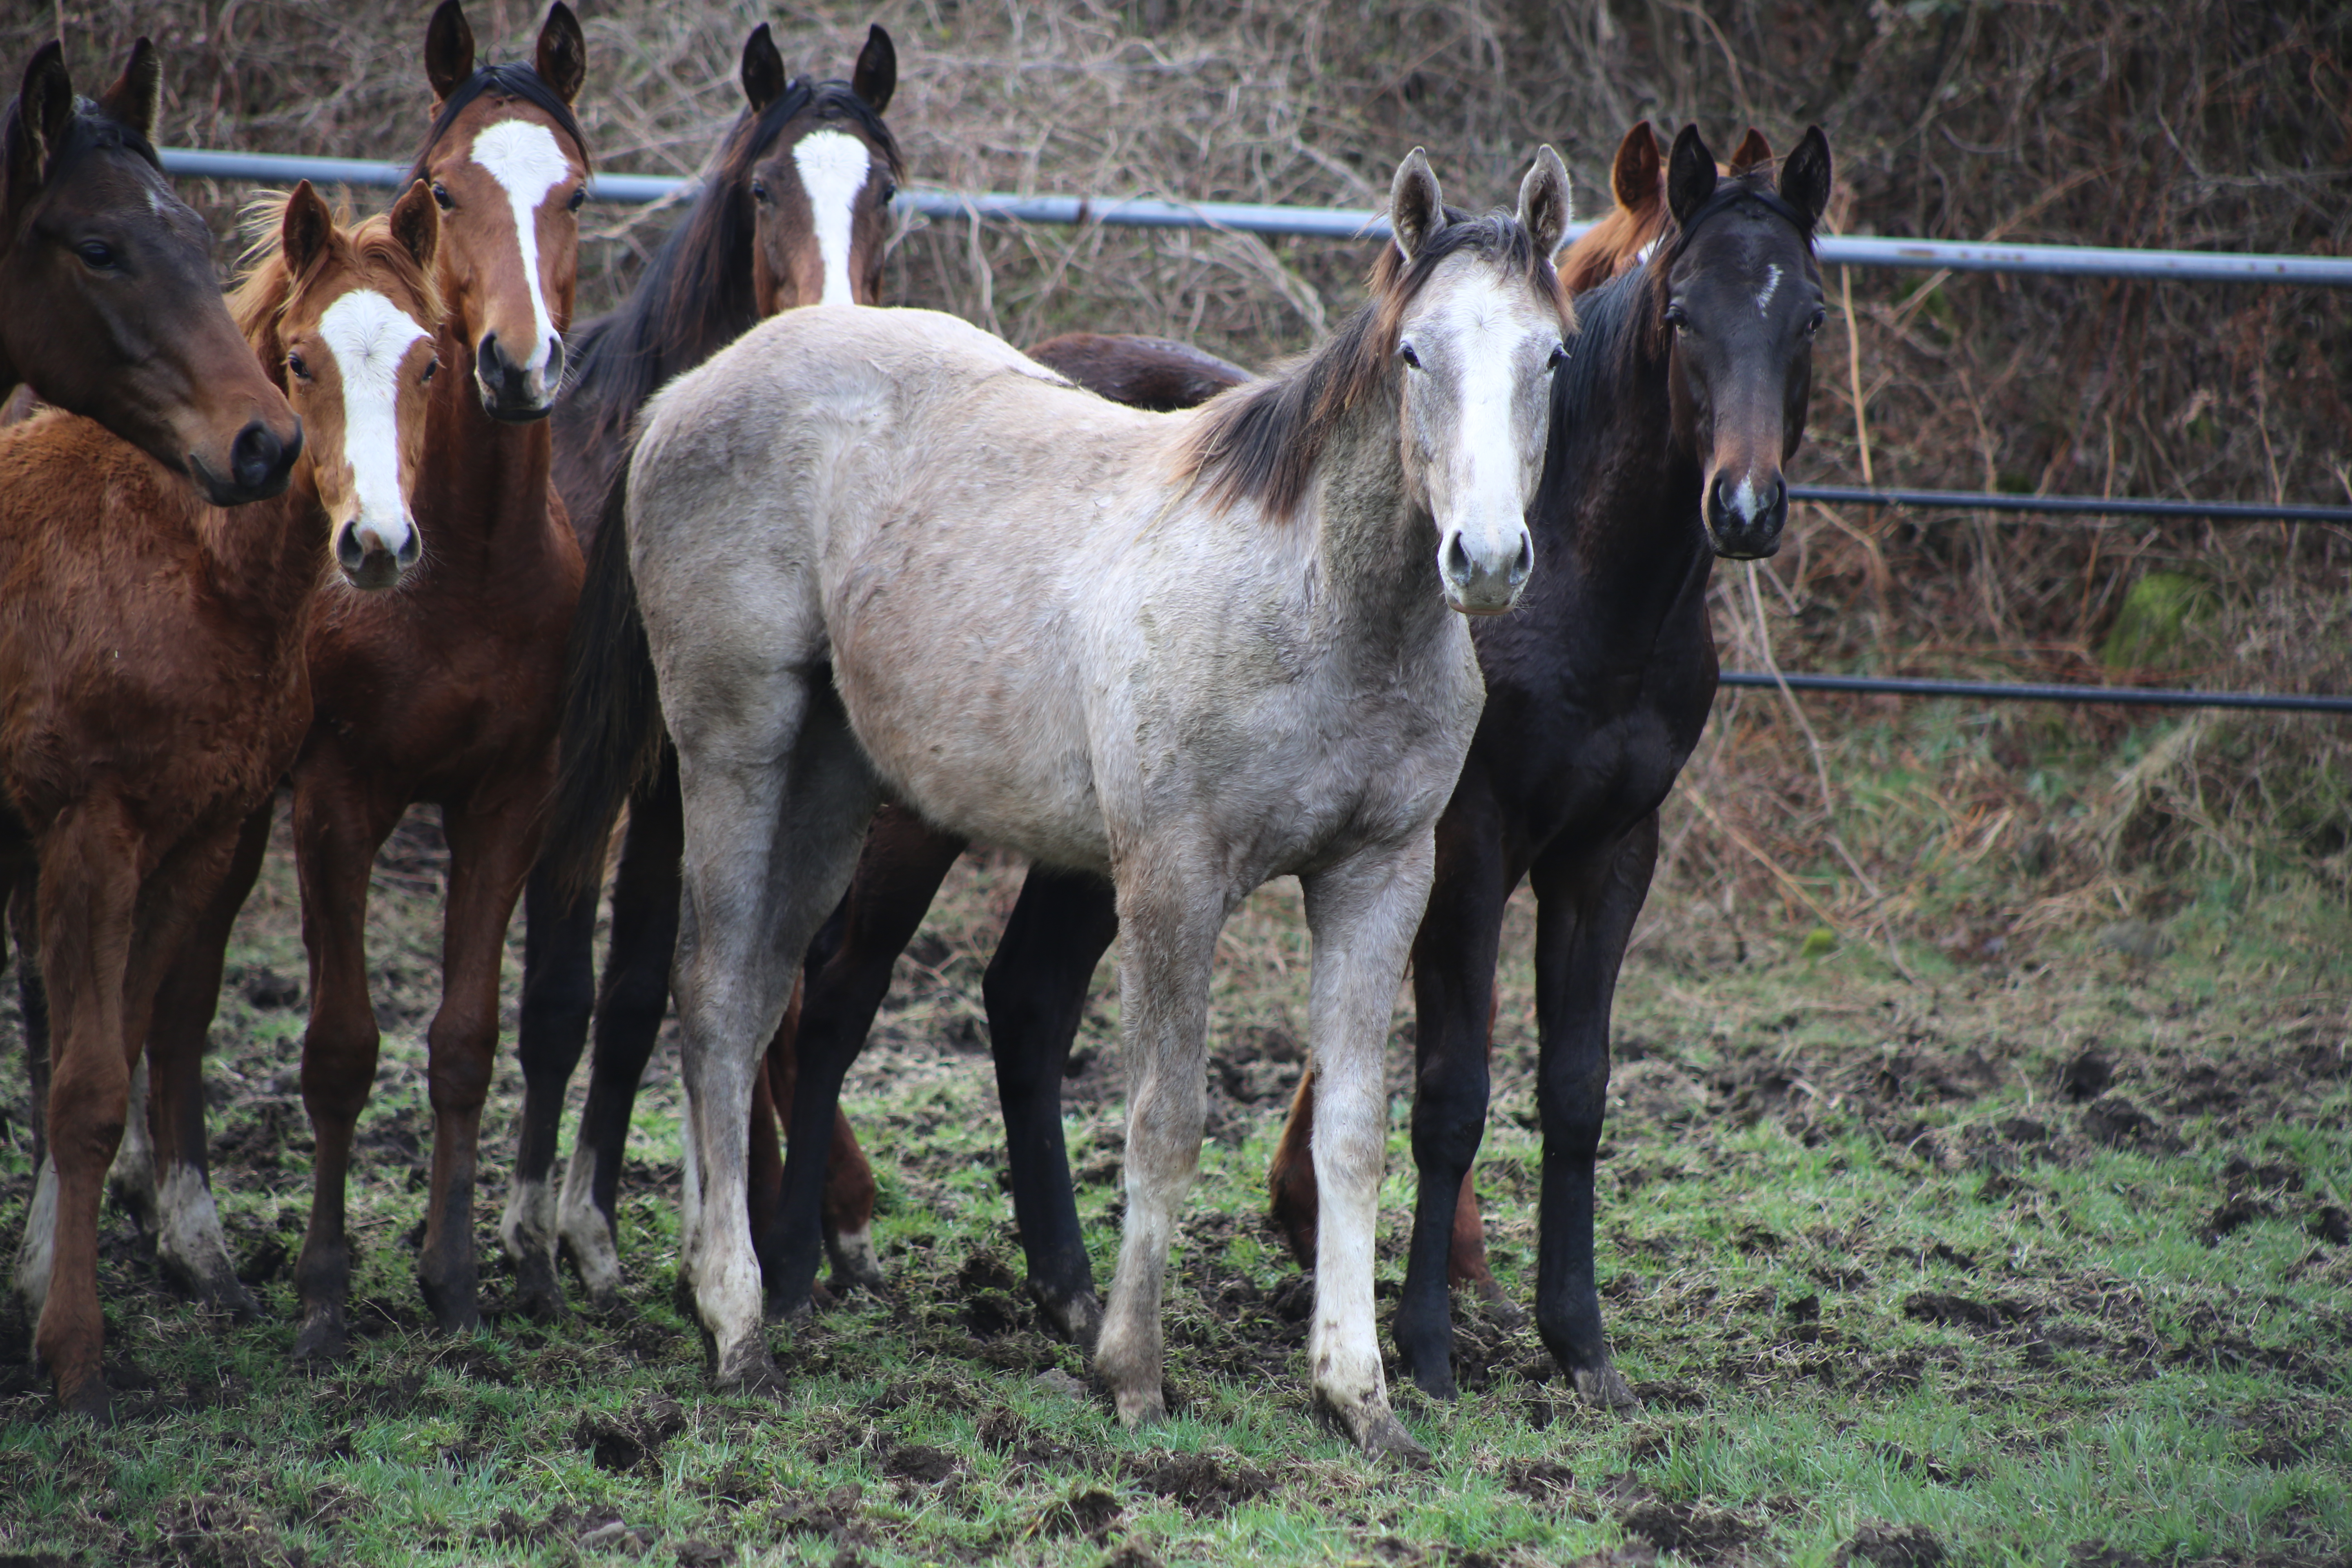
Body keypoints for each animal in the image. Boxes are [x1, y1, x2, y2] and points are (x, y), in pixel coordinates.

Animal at [1, 177, 442, 1420]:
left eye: (430, 363)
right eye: (299, 360)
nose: (376, 542)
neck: (183, 559)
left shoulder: (196, 837)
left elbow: (113, 1060)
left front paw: (48, 1291)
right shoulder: (93, 834)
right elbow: (88, 1086)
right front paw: (75, 1356)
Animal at [508, 21, 908, 1326]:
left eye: (887, 193)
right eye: (764, 188)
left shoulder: (674, 780)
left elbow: (646, 988)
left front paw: (605, 1227)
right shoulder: (576, 779)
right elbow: (562, 993)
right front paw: (538, 1233)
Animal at [557, 147, 1571, 1457]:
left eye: (1551, 357)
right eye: (1412, 354)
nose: (1485, 560)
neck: (1320, 608)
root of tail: (681, 398)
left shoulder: (1379, 875)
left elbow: (1350, 1134)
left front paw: (1360, 1399)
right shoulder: (1173, 878)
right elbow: (1163, 1121)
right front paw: (1130, 1372)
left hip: (833, 785)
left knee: (759, 997)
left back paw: (711, 1290)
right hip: (736, 751)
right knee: (716, 993)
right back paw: (737, 1323)